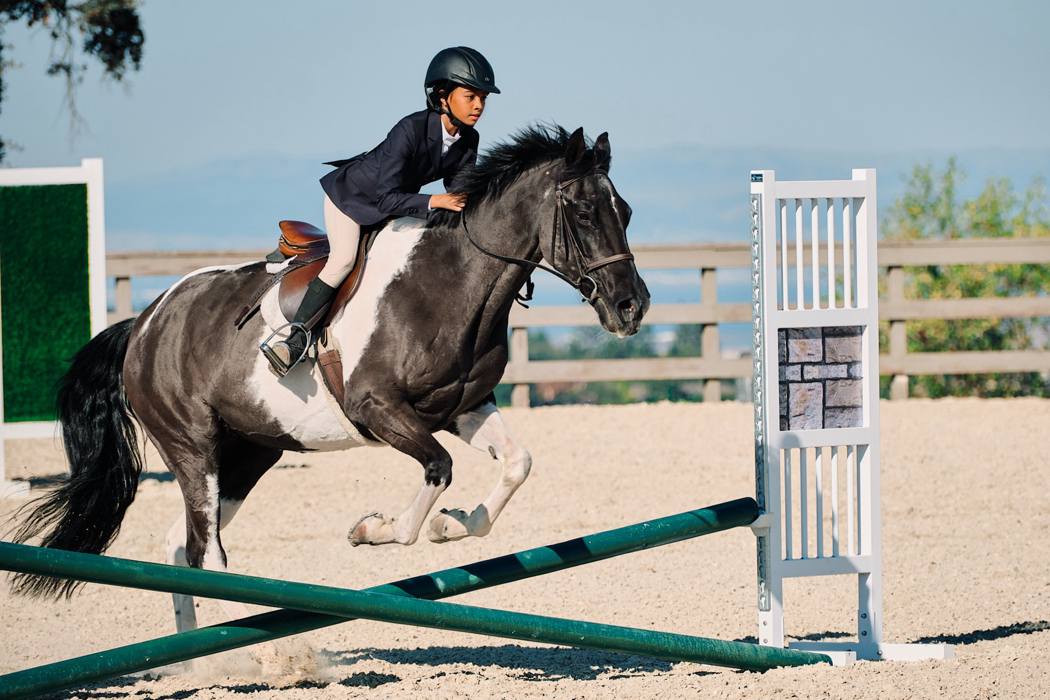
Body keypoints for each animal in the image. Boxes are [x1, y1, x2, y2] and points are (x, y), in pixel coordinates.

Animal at [10, 124, 646, 633]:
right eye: (584, 214)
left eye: (627, 212)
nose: (632, 307)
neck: (451, 283)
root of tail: (144, 324)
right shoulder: (378, 409)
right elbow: (437, 471)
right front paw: (375, 530)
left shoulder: (461, 406)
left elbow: (517, 463)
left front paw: (452, 526)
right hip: (191, 444)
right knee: (209, 552)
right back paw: (261, 658)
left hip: (249, 451)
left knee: (184, 544)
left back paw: (202, 660)